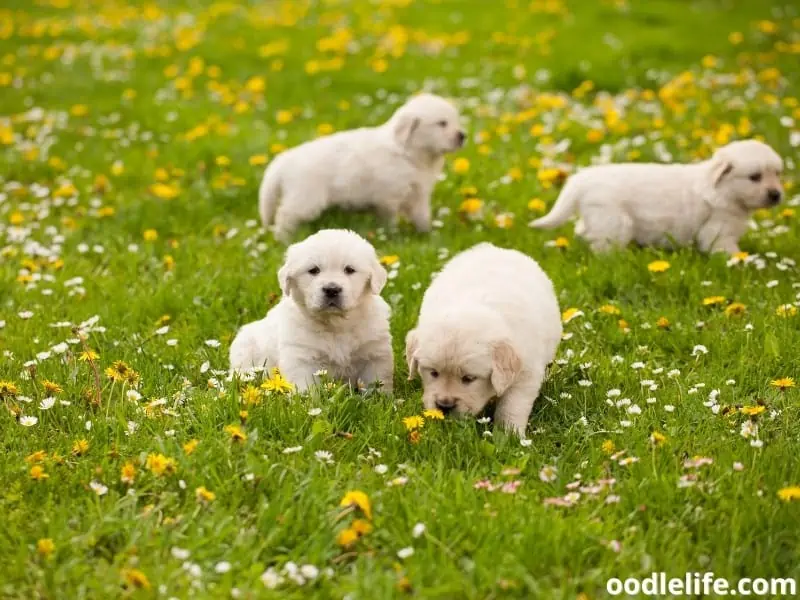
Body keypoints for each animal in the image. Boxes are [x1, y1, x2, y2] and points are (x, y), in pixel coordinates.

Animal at [228, 227, 394, 392]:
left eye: (349, 270)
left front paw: (381, 397)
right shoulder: (301, 358)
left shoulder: (375, 354)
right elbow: (306, 390)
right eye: (314, 270)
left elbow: (376, 383)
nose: (332, 289)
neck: (336, 324)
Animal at [260, 92, 466, 243]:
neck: (409, 153)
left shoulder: (419, 194)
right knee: (285, 215)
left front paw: (427, 235)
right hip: (306, 198)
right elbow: (389, 219)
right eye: (442, 123)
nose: (462, 135)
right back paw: (284, 239)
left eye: (456, 121)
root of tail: (284, 159)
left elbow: (422, 216)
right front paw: (392, 235)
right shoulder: (389, 196)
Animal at [406, 243, 564, 436]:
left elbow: (512, 406)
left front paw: (509, 435)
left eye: (469, 378)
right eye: (433, 373)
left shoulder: (526, 373)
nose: (444, 406)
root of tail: (495, 249)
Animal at [528, 139, 784, 254]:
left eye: (778, 174)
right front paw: (742, 262)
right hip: (613, 221)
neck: (723, 189)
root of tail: (581, 179)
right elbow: (729, 251)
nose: (776, 195)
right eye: (755, 177)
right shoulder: (718, 231)